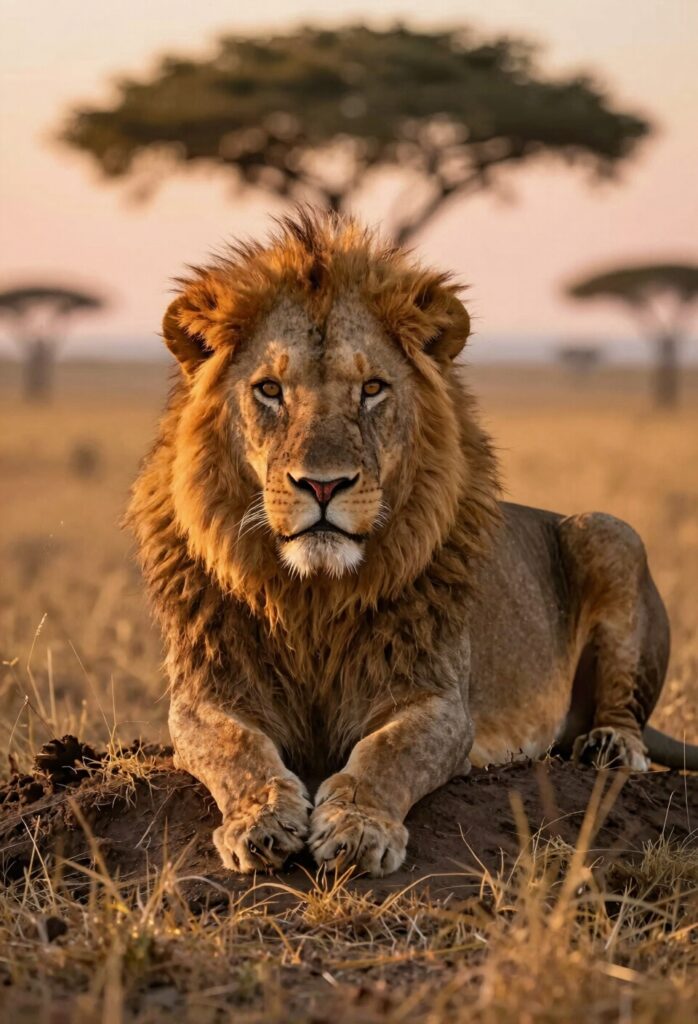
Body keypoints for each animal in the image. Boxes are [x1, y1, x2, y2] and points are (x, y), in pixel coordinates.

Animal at [129, 209, 698, 877]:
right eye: (269, 390)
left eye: (372, 388)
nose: (323, 484)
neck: (313, 598)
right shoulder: (205, 696)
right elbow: (234, 745)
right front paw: (262, 820)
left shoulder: (440, 702)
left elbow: (389, 752)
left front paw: (357, 828)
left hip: (607, 531)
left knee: (624, 715)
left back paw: (610, 745)